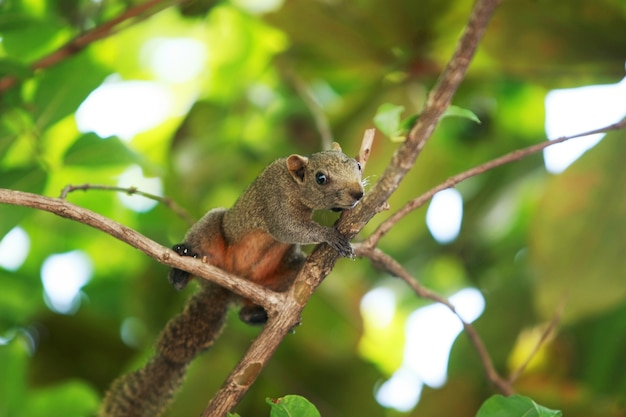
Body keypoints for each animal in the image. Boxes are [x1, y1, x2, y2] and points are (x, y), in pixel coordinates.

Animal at [100, 142, 364, 416]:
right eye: (321, 178)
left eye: (358, 165)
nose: (358, 193)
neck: (296, 187)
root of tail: (224, 289)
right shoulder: (275, 200)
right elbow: (289, 229)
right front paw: (329, 234)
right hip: (210, 232)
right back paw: (181, 269)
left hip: (286, 273)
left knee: (247, 312)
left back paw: (261, 315)